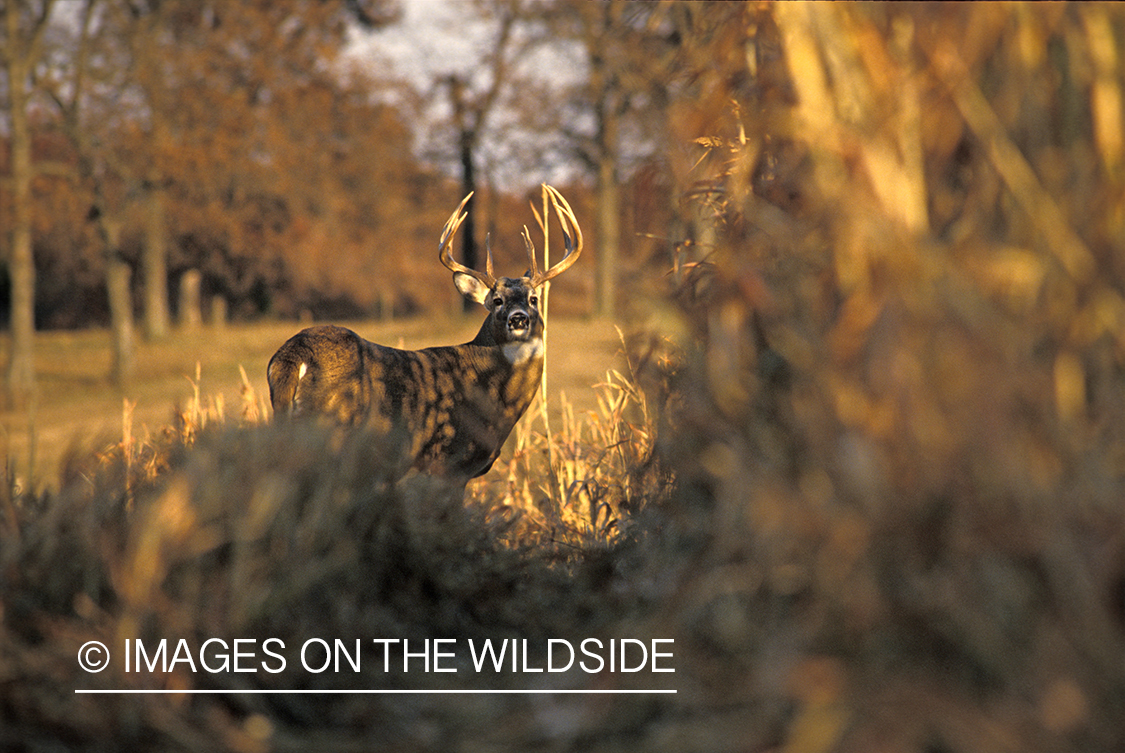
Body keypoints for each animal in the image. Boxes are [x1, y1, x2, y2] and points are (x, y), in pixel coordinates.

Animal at [267, 184, 585, 483]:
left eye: (534, 299)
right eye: (497, 301)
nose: (518, 319)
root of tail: (294, 355)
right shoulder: (448, 464)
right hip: (332, 434)